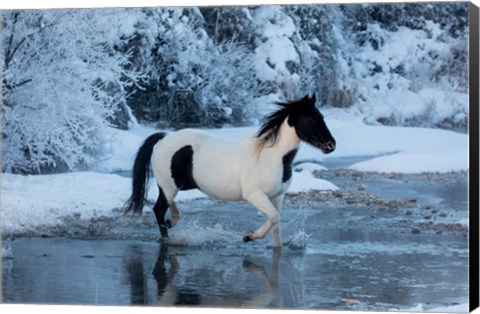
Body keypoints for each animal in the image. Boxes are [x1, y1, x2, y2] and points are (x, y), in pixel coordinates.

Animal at [125, 94, 336, 247]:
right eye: (309, 117)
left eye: (322, 117)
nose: (331, 145)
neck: (271, 157)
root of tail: (164, 137)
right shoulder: (255, 195)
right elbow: (274, 218)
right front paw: (248, 236)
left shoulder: (278, 197)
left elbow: (276, 226)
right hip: (171, 186)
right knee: (159, 209)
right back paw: (167, 238)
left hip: (177, 186)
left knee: (167, 206)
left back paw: (172, 222)